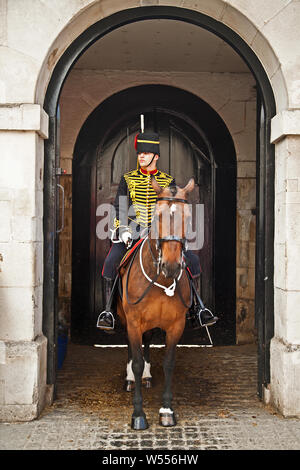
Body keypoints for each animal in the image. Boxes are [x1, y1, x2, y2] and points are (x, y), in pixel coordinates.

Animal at [117, 176, 195, 430]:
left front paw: (167, 410)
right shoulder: (133, 321)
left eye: (188, 217)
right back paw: (131, 379)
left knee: (148, 341)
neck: (161, 278)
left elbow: (169, 363)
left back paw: (147, 377)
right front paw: (138, 414)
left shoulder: (176, 325)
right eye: (158, 216)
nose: (171, 266)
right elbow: (137, 362)